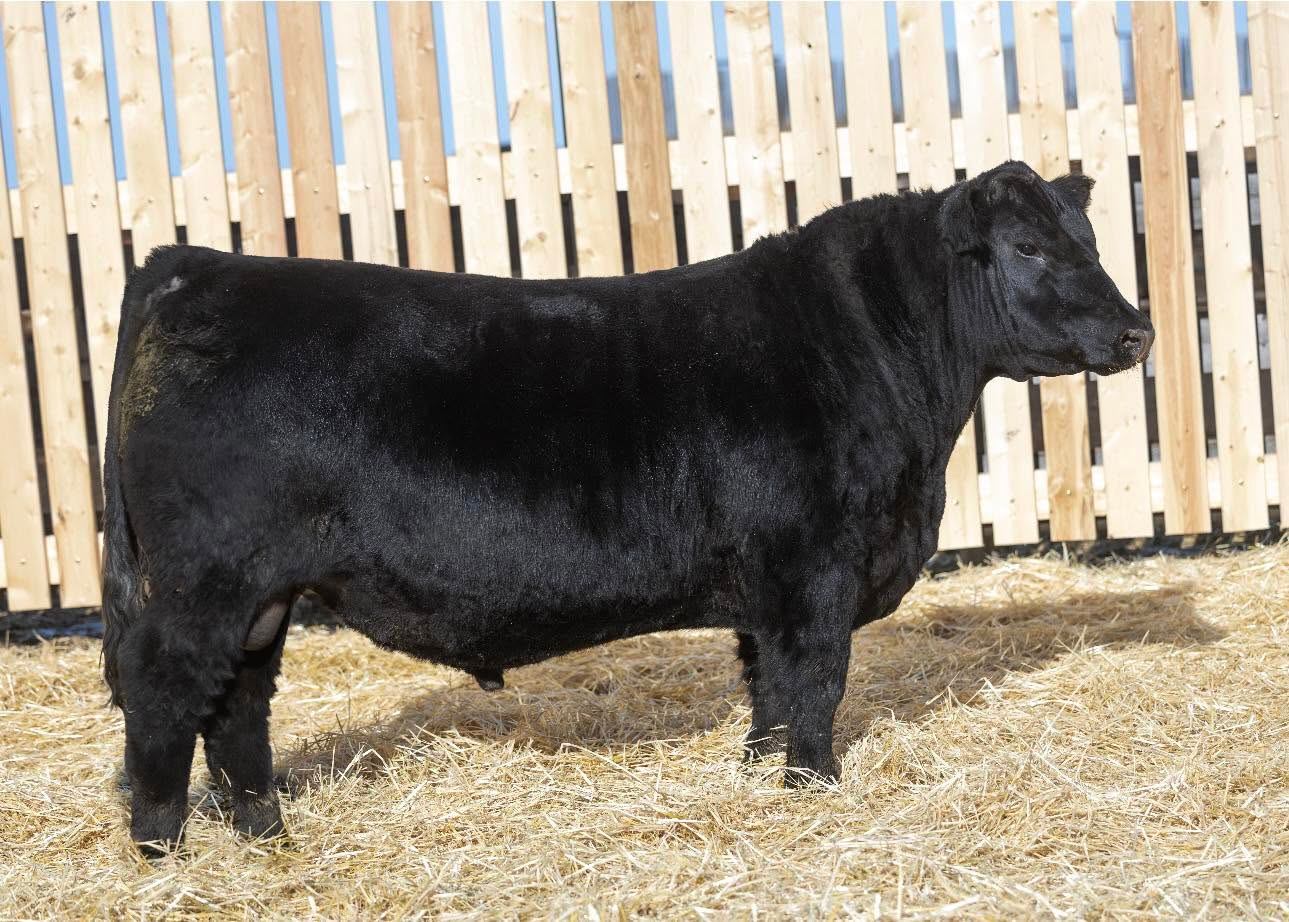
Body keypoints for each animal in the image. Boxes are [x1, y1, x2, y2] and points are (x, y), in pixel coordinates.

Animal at [101, 161, 1153, 853]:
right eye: (1027, 246)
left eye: (1090, 240)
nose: (1136, 331)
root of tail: (195, 265)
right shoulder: (812, 570)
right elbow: (814, 689)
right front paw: (812, 793)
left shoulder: (767, 591)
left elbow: (768, 693)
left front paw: (759, 784)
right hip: (203, 581)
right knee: (163, 693)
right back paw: (161, 851)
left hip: (261, 595)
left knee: (236, 706)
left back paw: (265, 835)